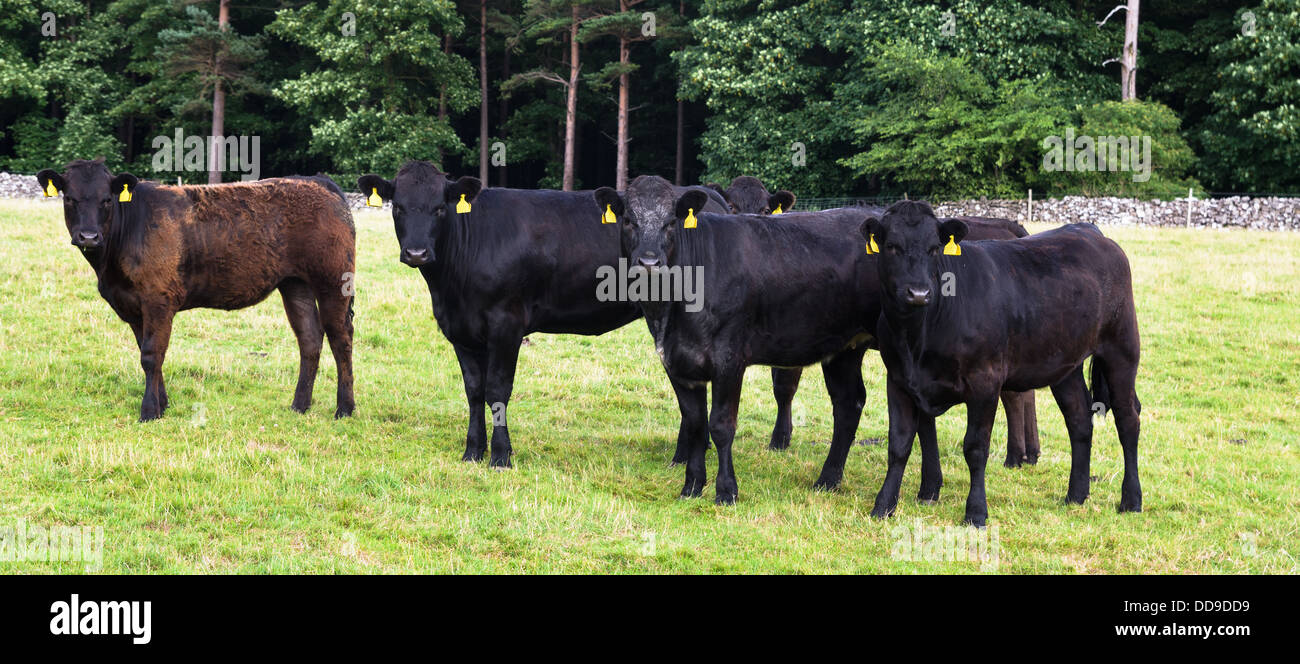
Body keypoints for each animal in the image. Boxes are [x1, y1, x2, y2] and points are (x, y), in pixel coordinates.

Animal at [40, 159, 356, 421]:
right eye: (69, 198)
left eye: (107, 199)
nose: (88, 236)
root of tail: (317, 180)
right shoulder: (132, 307)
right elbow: (149, 354)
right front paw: (162, 404)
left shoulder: (159, 300)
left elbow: (151, 355)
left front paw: (149, 411)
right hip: (294, 284)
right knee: (310, 338)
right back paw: (299, 405)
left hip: (333, 281)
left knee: (341, 339)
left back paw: (345, 408)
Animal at [361, 163, 728, 470]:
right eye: (398, 207)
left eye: (440, 208)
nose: (417, 253)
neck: (451, 286)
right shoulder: (460, 330)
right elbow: (474, 391)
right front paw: (473, 451)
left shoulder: (506, 324)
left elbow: (497, 390)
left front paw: (500, 456)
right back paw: (682, 456)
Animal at [857, 201, 1144, 524]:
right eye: (891, 246)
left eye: (934, 248)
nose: (918, 293)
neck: (918, 334)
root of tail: (1089, 230)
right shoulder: (898, 380)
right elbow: (899, 444)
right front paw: (883, 506)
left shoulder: (985, 381)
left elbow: (975, 447)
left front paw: (976, 512)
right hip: (1065, 364)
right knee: (1079, 420)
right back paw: (1076, 495)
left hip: (1122, 348)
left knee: (1128, 418)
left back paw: (1131, 499)